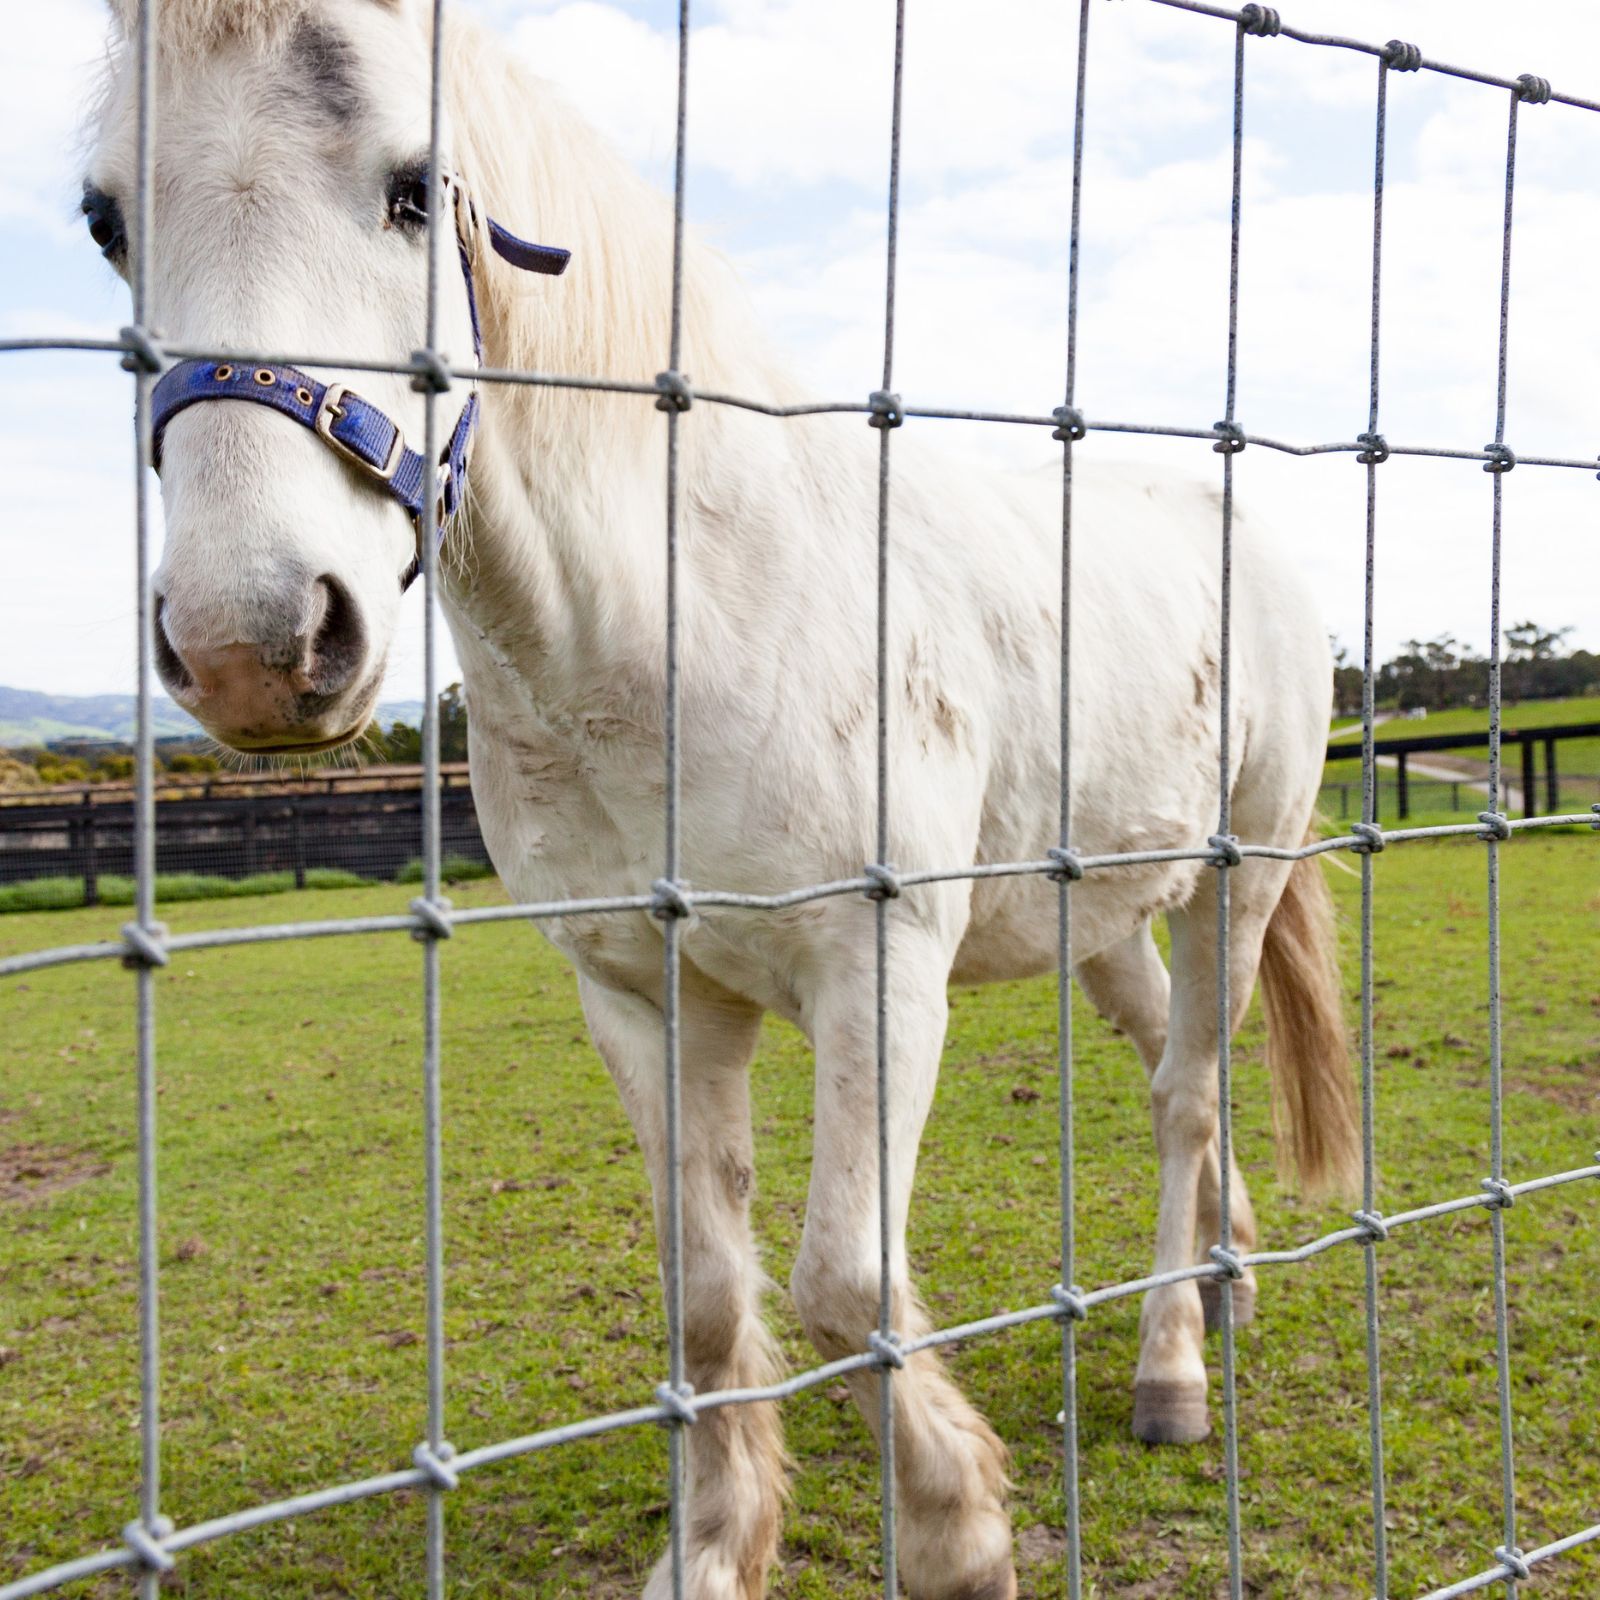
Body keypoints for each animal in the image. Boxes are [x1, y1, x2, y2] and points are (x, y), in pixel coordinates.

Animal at [84, 2, 1359, 1595]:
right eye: (105, 222)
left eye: (410, 186)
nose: (251, 642)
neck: (683, 613)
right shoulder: (644, 994)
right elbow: (702, 1293)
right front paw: (713, 1548)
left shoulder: (877, 970)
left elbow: (843, 1283)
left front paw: (957, 1530)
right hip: (1106, 915)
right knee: (1167, 1070)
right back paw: (1226, 1267)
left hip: (1236, 882)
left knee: (1187, 1094)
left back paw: (1171, 1367)